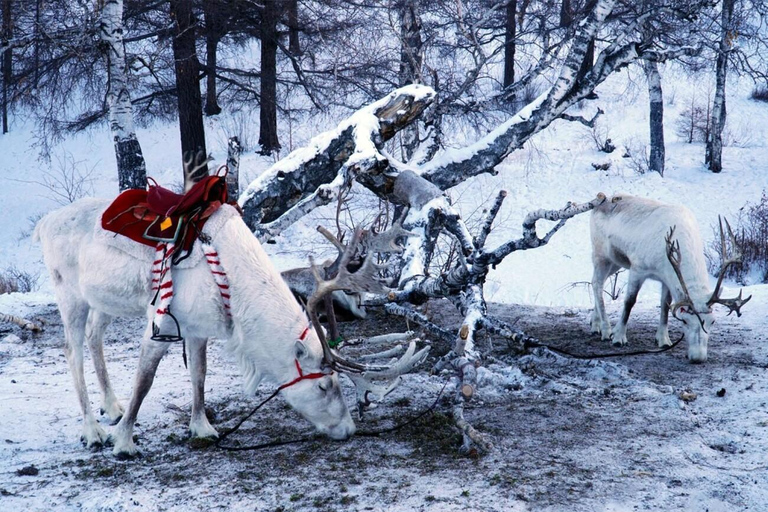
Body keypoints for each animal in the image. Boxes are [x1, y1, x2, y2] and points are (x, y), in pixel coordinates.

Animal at [34, 160, 426, 458]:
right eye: (324, 385)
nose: (348, 429)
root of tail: (44, 222)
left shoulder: (197, 328)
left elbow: (199, 376)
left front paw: (202, 427)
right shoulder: (160, 325)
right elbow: (144, 383)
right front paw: (124, 442)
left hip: (104, 300)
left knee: (94, 338)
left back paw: (111, 407)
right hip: (69, 294)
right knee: (72, 351)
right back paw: (93, 430)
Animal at [590, 194, 750, 363]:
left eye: (712, 321)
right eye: (684, 320)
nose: (698, 357)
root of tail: (599, 202)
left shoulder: (666, 278)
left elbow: (665, 305)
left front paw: (663, 340)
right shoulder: (638, 268)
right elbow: (629, 301)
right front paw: (618, 337)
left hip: (615, 262)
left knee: (597, 282)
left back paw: (595, 324)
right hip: (601, 255)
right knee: (597, 284)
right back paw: (606, 329)